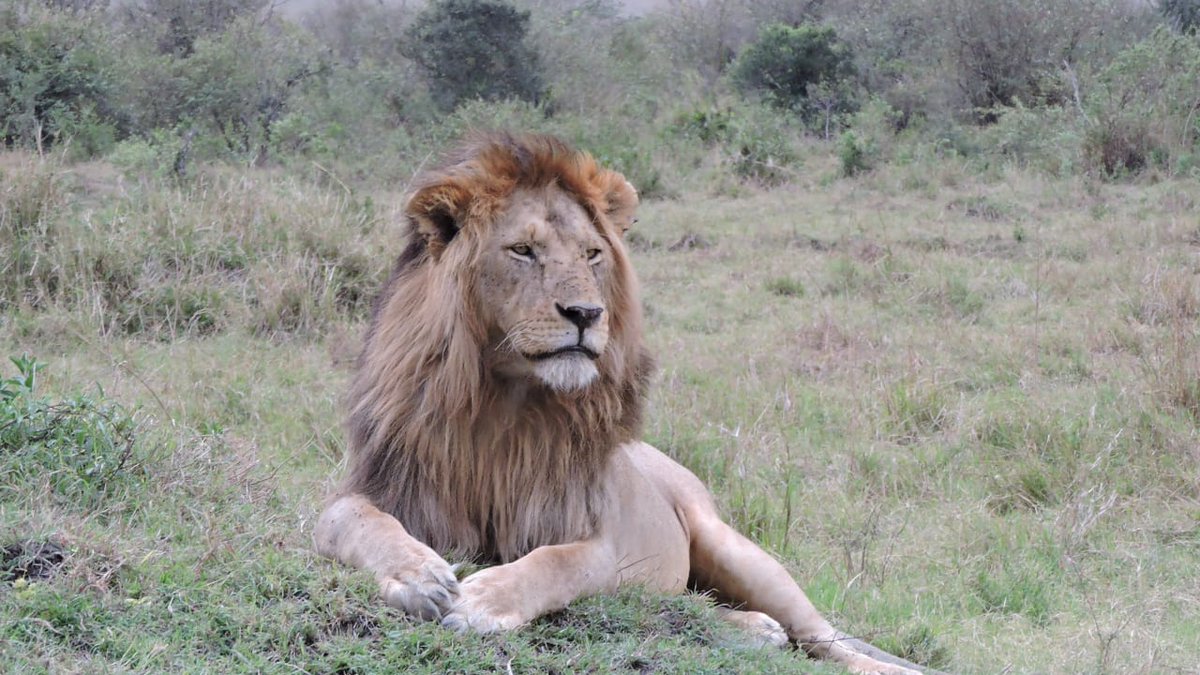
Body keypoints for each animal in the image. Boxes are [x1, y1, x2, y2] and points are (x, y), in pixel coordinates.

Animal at [314, 133, 931, 674]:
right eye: (523, 251)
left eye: (592, 254)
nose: (586, 314)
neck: (505, 401)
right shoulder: (385, 488)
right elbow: (354, 520)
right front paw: (419, 577)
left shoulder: (602, 536)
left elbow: (559, 562)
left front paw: (481, 600)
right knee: (694, 607)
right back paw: (754, 630)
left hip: (734, 547)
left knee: (824, 638)